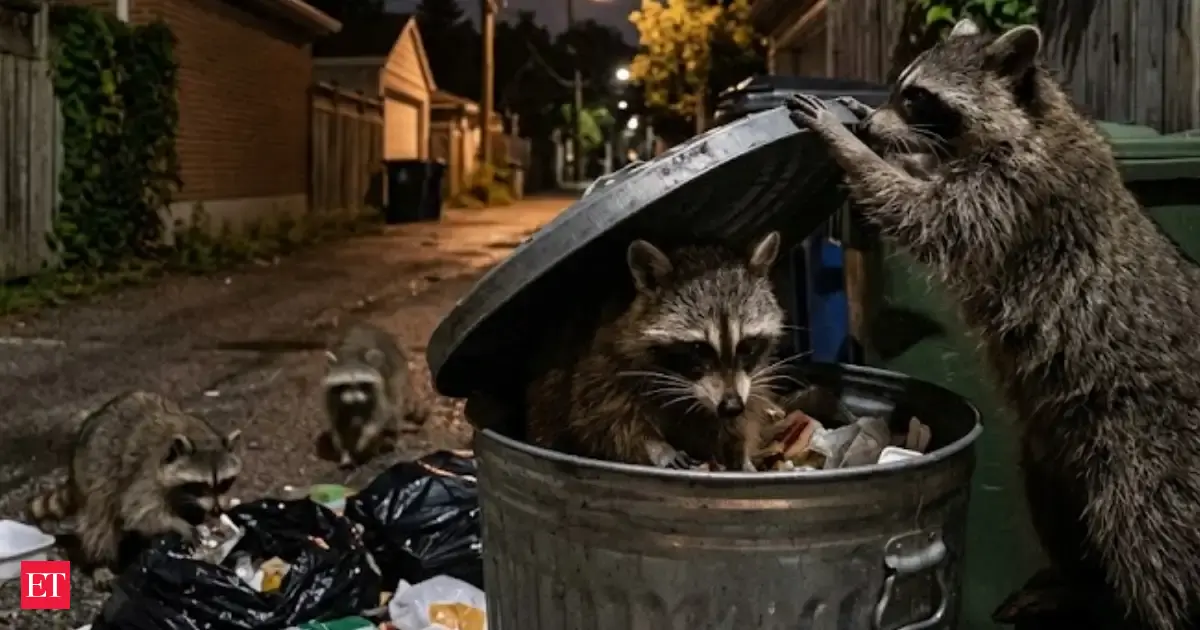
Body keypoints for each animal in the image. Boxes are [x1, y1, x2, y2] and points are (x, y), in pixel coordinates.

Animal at [26, 391, 241, 586]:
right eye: (201, 485)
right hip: (92, 475)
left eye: (224, 483)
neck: (199, 435)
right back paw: (100, 562)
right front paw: (177, 524)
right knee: (99, 522)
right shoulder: (145, 474)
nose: (217, 510)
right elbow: (139, 512)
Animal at [323, 321, 425, 468]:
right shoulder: (331, 395)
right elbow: (336, 424)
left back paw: (395, 437)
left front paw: (365, 437)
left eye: (362, 384)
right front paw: (344, 452)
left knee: (395, 406)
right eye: (345, 385)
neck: (351, 356)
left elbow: (380, 414)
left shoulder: (379, 390)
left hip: (398, 372)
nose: (354, 399)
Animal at [525, 231, 787, 470]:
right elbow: (605, 418)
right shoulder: (603, 363)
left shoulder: (750, 381)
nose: (731, 407)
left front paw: (739, 452)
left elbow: (744, 415)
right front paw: (655, 447)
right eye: (699, 348)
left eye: (747, 346)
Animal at [789, 19, 1200, 630]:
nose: (867, 125)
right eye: (900, 88)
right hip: (1058, 449)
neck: (1033, 114)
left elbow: (923, 215)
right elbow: (921, 190)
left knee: (1150, 536)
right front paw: (881, 146)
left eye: (918, 97)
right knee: (1060, 506)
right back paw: (1078, 585)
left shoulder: (1015, 191)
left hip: (1149, 448)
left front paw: (848, 147)